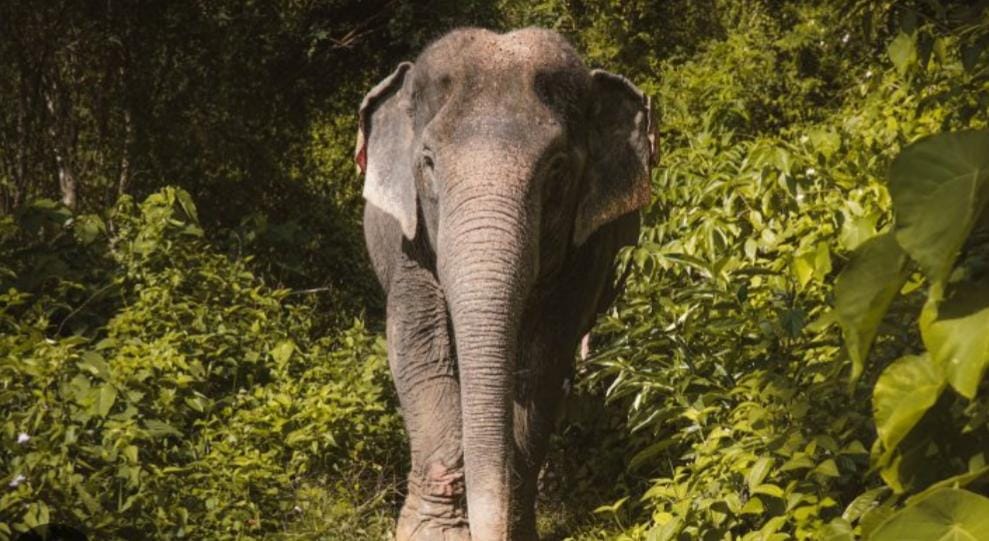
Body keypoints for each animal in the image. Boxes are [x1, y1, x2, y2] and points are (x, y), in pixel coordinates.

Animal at [356, 27, 655, 541]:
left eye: (557, 168)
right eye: (428, 161)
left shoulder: (586, 251)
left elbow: (543, 360)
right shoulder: (408, 241)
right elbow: (420, 347)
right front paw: (434, 533)